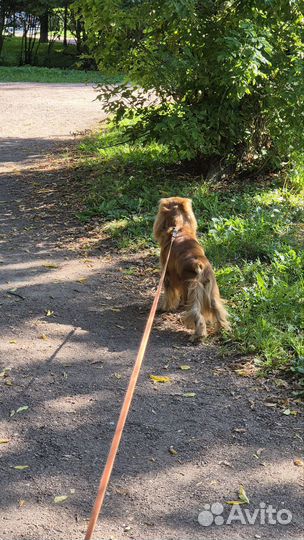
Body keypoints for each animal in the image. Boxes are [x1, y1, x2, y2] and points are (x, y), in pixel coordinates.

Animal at [153, 197, 229, 342]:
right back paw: (223, 329)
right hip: (211, 292)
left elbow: (169, 294)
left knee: (197, 315)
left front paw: (165, 308)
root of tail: (199, 264)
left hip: (192, 291)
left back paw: (198, 335)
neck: (178, 229)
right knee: (218, 310)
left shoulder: (168, 276)